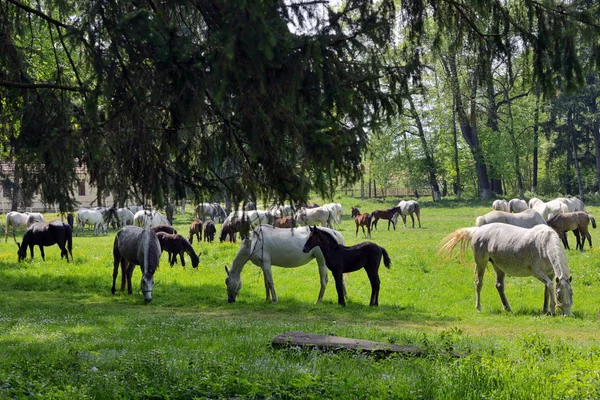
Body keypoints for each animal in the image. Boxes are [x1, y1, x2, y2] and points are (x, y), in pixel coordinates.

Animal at [438, 223, 576, 318]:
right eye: (559, 295)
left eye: (571, 293)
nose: (568, 315)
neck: (544, 243)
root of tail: (478, 230)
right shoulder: (537, 272)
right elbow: (551, 285)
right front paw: (552, 310)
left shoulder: (550, 273)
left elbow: (547, 289)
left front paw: (545, 310)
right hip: (481, 263)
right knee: (478, 283)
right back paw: (478, 308)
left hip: (498, 266)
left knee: (499, 286)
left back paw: (508, 308)